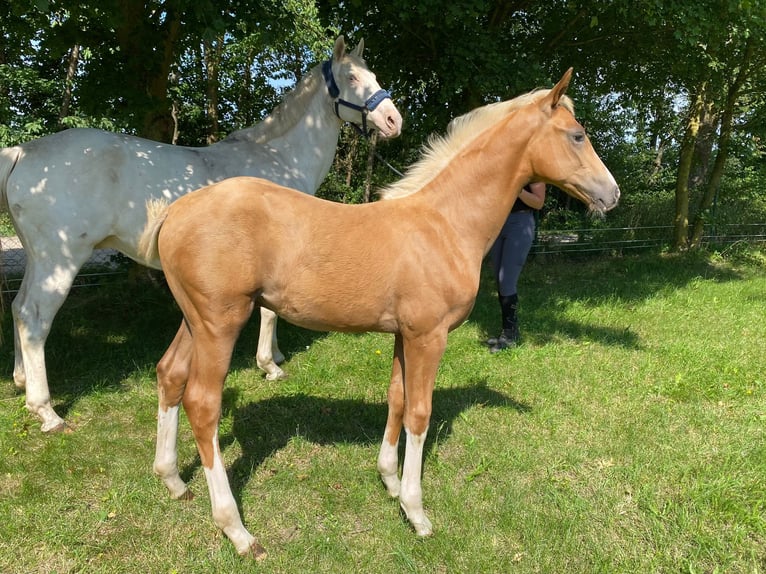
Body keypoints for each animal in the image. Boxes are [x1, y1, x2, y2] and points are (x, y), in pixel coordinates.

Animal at [141, 67, 624, 560]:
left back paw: (174, 481)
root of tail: (176, 210)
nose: (612, 194)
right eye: (578, 135)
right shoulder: (429, 335)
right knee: (203, 403)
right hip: (221, 322)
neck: (444, 223)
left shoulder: (402, 334)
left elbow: (397, 398)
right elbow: (420, 413)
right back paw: (236, 529)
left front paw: (389, 480)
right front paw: (416, 510)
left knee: (170, 374)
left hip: (195, 321)